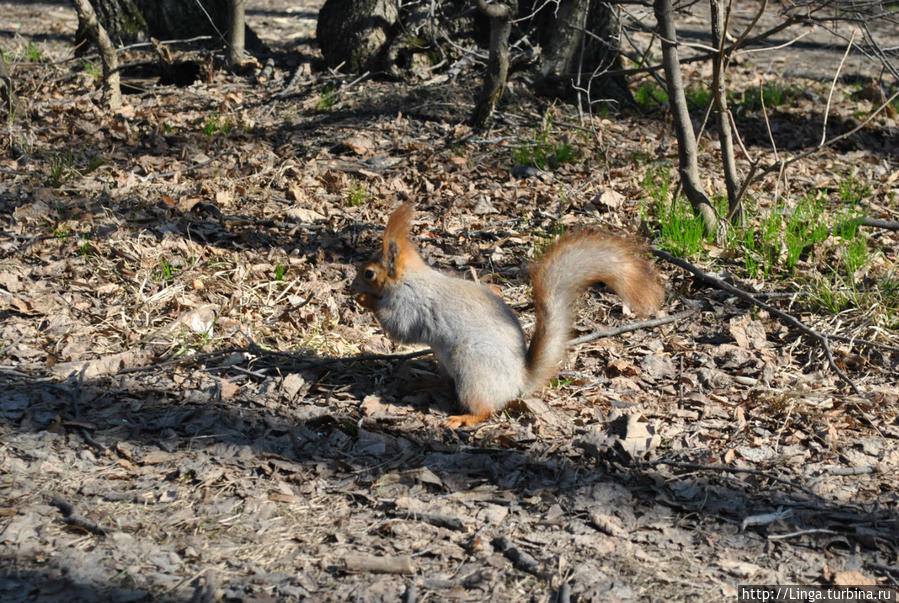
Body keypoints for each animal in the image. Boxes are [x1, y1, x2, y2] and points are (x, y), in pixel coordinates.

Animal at [356, 204, 664, 430]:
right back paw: (420, 382)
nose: (352, 284)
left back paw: (464, 417)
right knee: (445, 382)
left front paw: (365, 300)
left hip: (472, 365)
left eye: (369, 273)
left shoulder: (410, 305)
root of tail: (519, 381)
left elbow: (398, 327)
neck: (410, 278)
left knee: (485, 407)